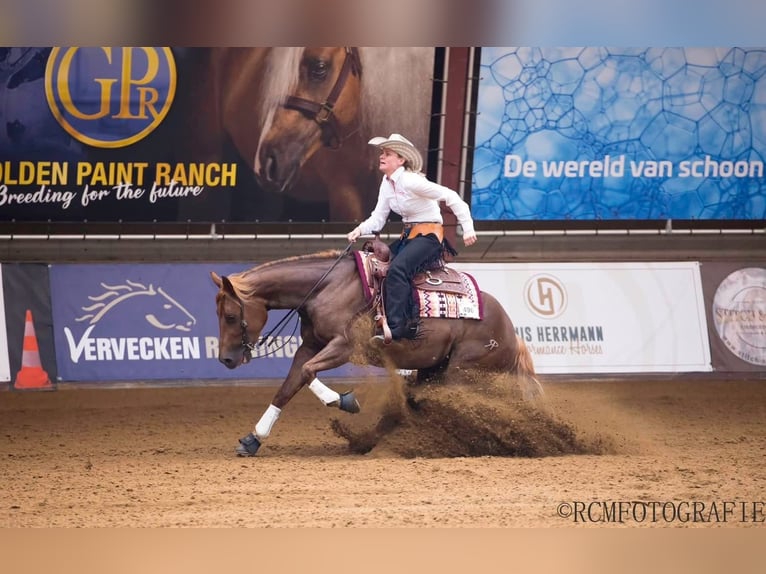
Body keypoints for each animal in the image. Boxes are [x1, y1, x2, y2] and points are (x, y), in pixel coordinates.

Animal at [211, 247, 541, 456]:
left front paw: (344, 401)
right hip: (434, 370)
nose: (225, 359)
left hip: (462, 373)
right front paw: (253, 439)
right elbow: (288, 387)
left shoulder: (344, 346)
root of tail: (512, 333)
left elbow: (308, 373)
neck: (326, 287)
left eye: (230, 316)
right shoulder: (309, 346)